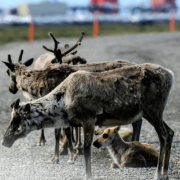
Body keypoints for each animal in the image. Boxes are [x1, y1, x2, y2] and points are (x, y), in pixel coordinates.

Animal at [1, 62, 173, 179]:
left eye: (17, 119)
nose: (4, 141)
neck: (63, 102)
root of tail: (171, 74)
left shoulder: (89, 119)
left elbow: (86, 149)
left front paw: (87, 175)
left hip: (153, 110)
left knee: (163, 135)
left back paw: (158, 174)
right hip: (153, 113)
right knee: (170, 132)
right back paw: (165, 172)